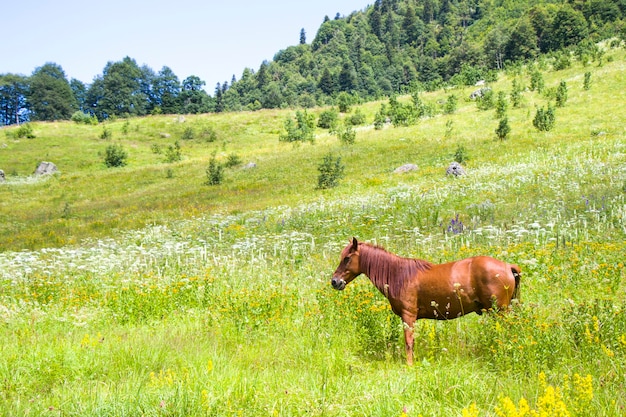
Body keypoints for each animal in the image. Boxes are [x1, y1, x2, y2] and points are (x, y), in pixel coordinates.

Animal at [330, 237, 520, 364]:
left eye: (347, 258)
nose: (334, 281)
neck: (399, 275)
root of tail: (507, 266)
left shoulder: (408, 316)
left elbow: (408, 343)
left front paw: (409, 365)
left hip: (500, 312)